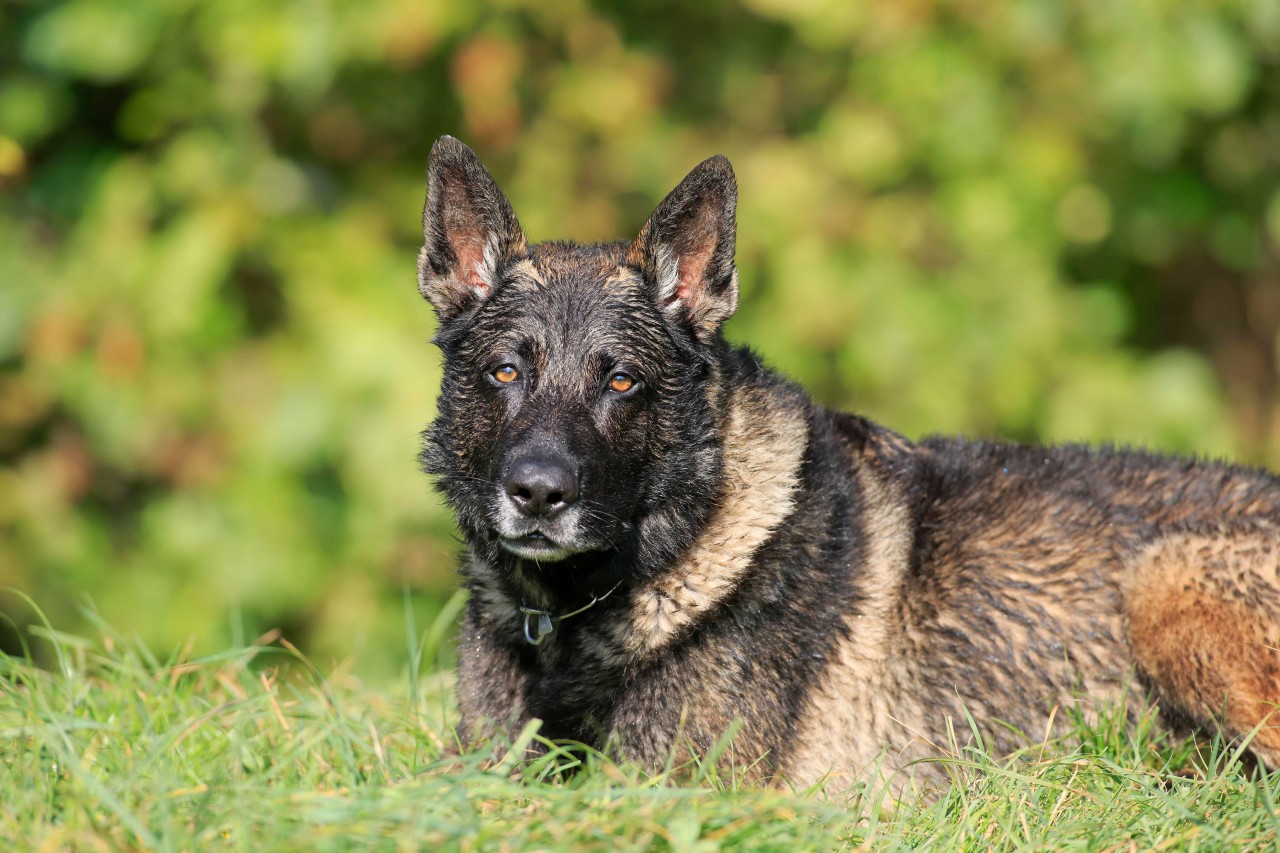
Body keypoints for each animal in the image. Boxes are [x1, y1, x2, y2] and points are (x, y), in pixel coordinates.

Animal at [417, 136, 1280, 788]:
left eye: (622, 381)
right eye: (505, 371)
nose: (538, 493)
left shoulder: (678, 782)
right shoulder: (479, 759)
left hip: (1167, 581)